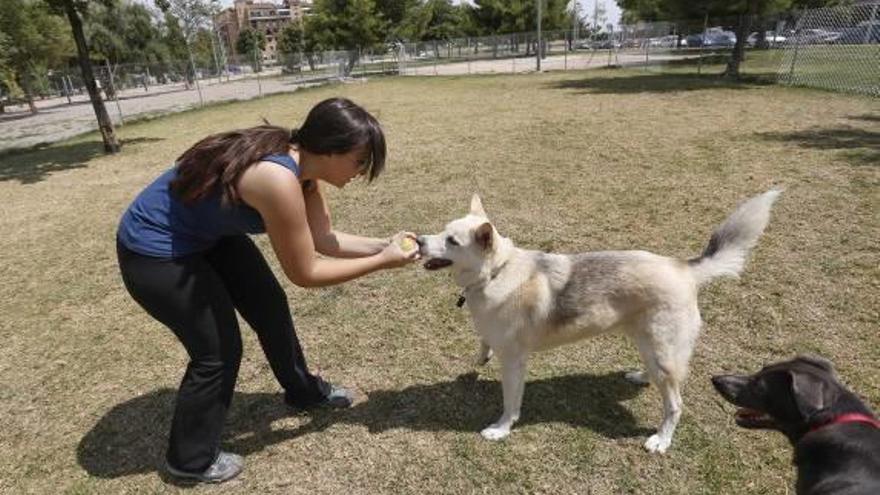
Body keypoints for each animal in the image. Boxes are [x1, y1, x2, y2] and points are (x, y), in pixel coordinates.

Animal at [416, 191, 780, 454]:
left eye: (452, 241)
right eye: (442, 231)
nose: (418, 240)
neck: (497, 272)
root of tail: (684, 268)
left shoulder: (515, 363)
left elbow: (511, 403)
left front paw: (501, 430)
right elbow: (484, 344)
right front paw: (480, 357)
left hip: (663, 353)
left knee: (675, 404)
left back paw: (661, 440)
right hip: (646, 341)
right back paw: (641, 376)